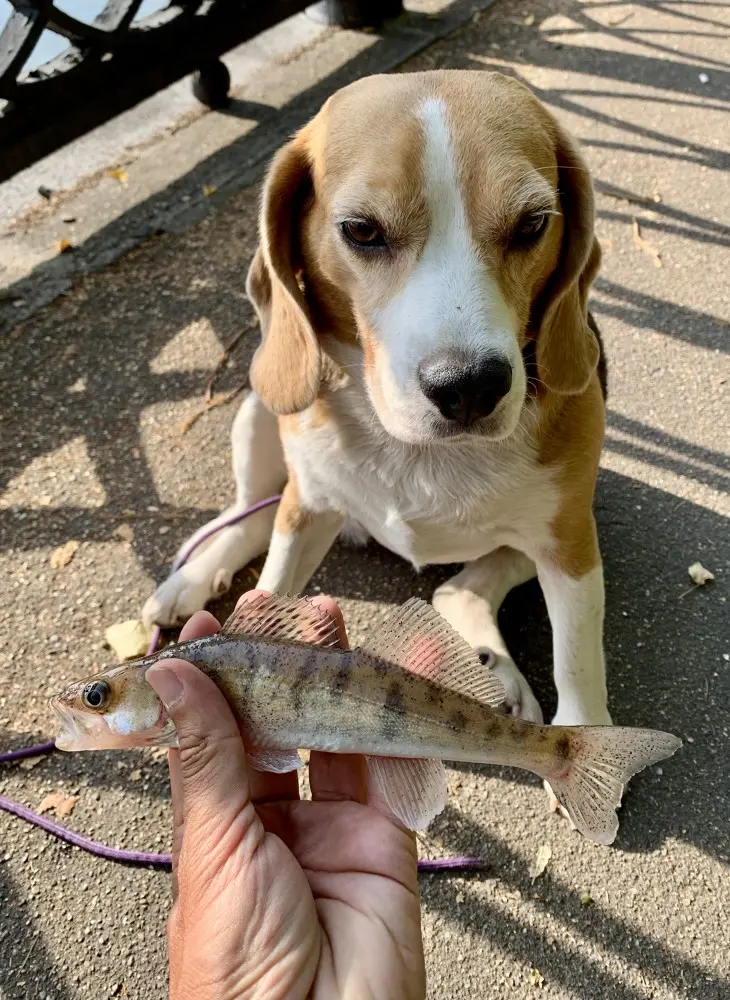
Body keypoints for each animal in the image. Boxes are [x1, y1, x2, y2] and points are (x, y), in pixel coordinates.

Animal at [142, 68, 608, 728]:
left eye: (532, 224)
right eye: (361, 231)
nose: (469, 386)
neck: (411, 448)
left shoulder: (570, 542)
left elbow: (578, 662)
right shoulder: (305, 508)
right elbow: (271, 581)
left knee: (454, 589)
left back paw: (498, 676)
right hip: (263, 411)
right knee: (251, 511)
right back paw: (193, 578)